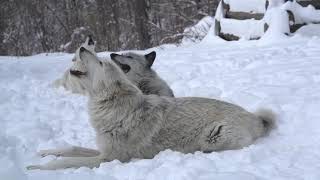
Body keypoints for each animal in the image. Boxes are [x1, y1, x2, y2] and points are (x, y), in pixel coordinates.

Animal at [26, 46, 276, 170]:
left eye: (100, 62)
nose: (80, 48)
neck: (113, 108)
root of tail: (256, 118)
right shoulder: (102, 150)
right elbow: (70, 148)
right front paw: (44, 152)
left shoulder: (108, 159)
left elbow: (66, 162)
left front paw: (37, 168)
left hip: (213, 138)